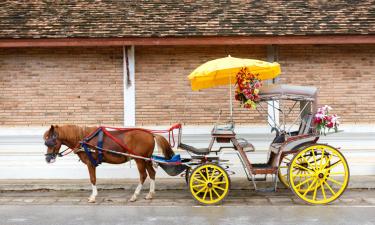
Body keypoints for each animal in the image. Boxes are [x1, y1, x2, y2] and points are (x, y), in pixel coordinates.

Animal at [43, 124, 176, 203]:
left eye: (51, 142)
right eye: (46, 142)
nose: (48, 159)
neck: (83, 139)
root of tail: (150, 134)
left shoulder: (90, 163)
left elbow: (93, 179)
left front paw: (93, 196)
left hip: (139, 159)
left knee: (143, 175)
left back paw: (135, 195)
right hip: (146, 159)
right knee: (152, 173)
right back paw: (150, 194)